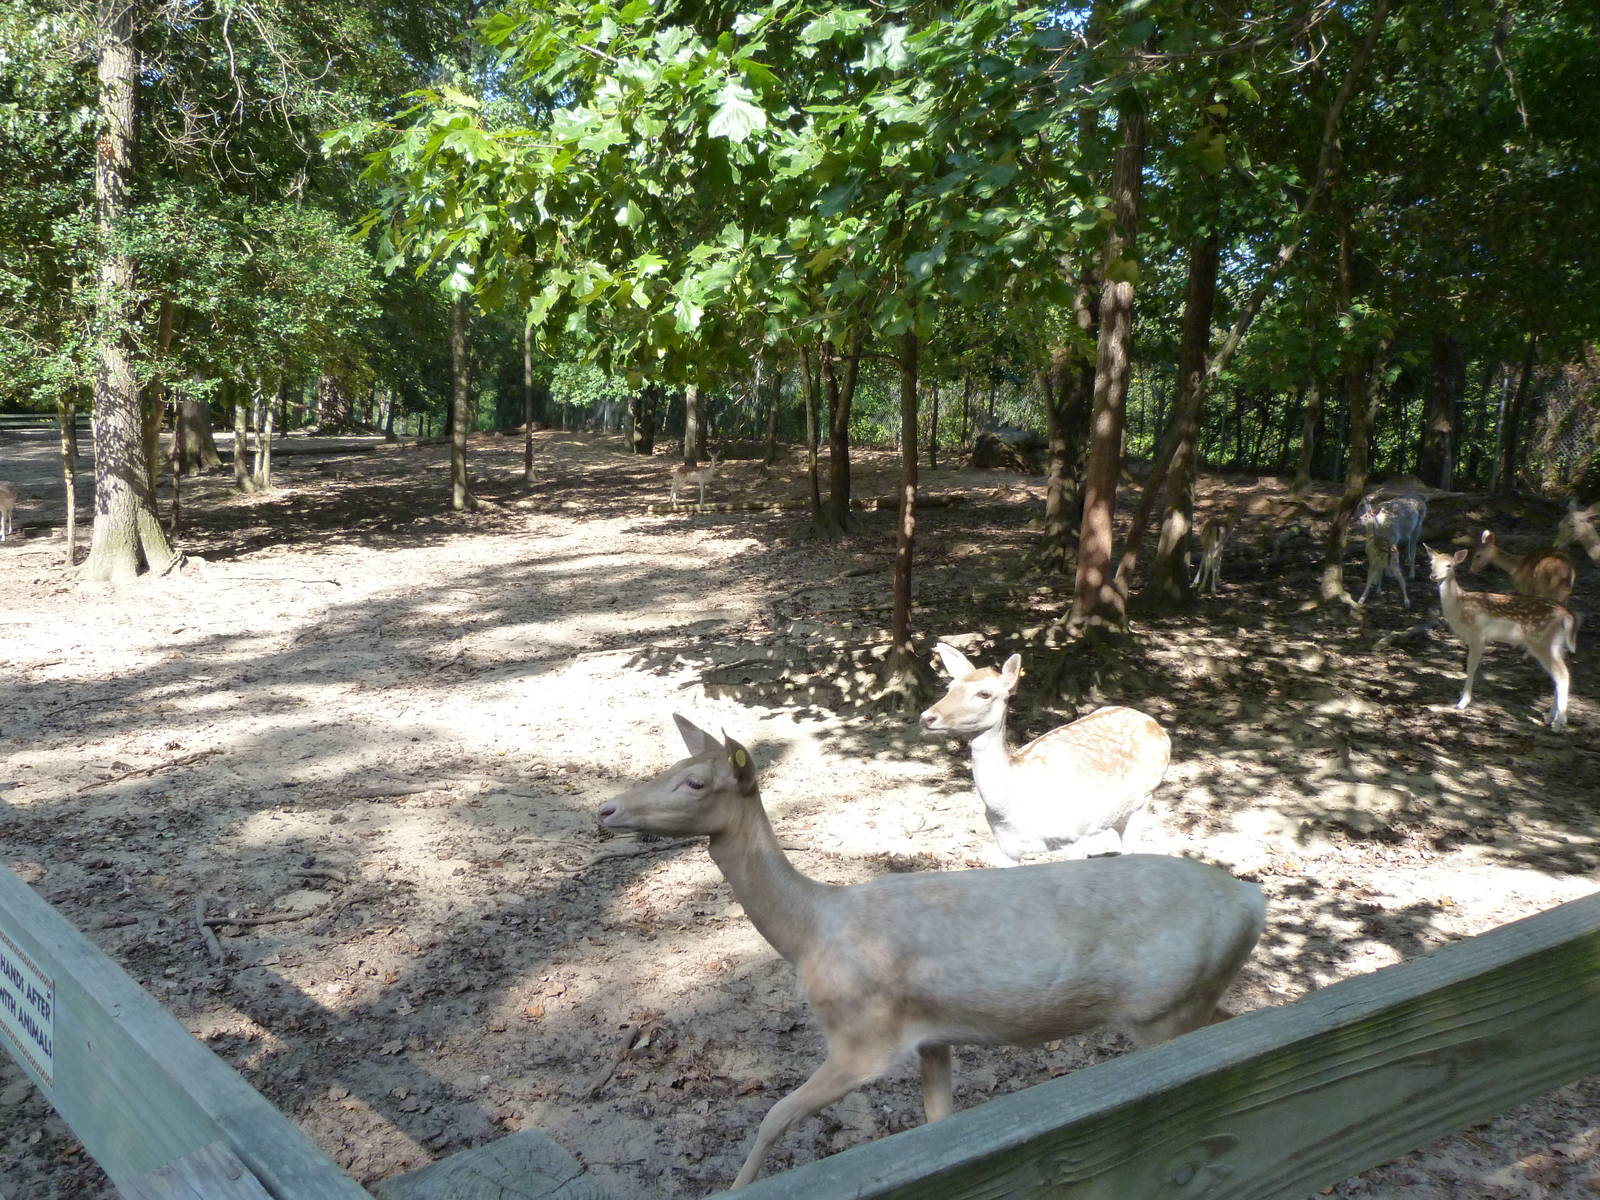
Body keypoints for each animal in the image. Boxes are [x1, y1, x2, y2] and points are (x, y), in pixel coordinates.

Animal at [597, 716, 1265, 1189]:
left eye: (695, 781)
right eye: (675, 762)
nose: (606, 808)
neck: (809, 933)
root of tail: (1252, 901)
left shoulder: (864, 1039)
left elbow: (774, 1117)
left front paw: (736, 1187)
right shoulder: (933, 1036)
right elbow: (938, 1123)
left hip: (1164, 1011)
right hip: (1193, 999)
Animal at [919, 643, 1170, 865]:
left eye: (984, 694)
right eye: (950, 687)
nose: (927, 717)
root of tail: (1157, 726)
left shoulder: (1077, 836)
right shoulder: (1006, 846)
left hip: (1146, 798)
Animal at [1425, 545, 1578, 731]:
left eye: (1449, 565)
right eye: (1431, 563)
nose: (1433, 576)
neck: (1459, 606)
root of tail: (1567, 616)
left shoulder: (1478, 635)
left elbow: (1471, 666)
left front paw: (1462, 703)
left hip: (1542, 642)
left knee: (1562, 675)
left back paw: (1558, 723)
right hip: (1556, 645)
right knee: (1558, 675)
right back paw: (1550, 718)